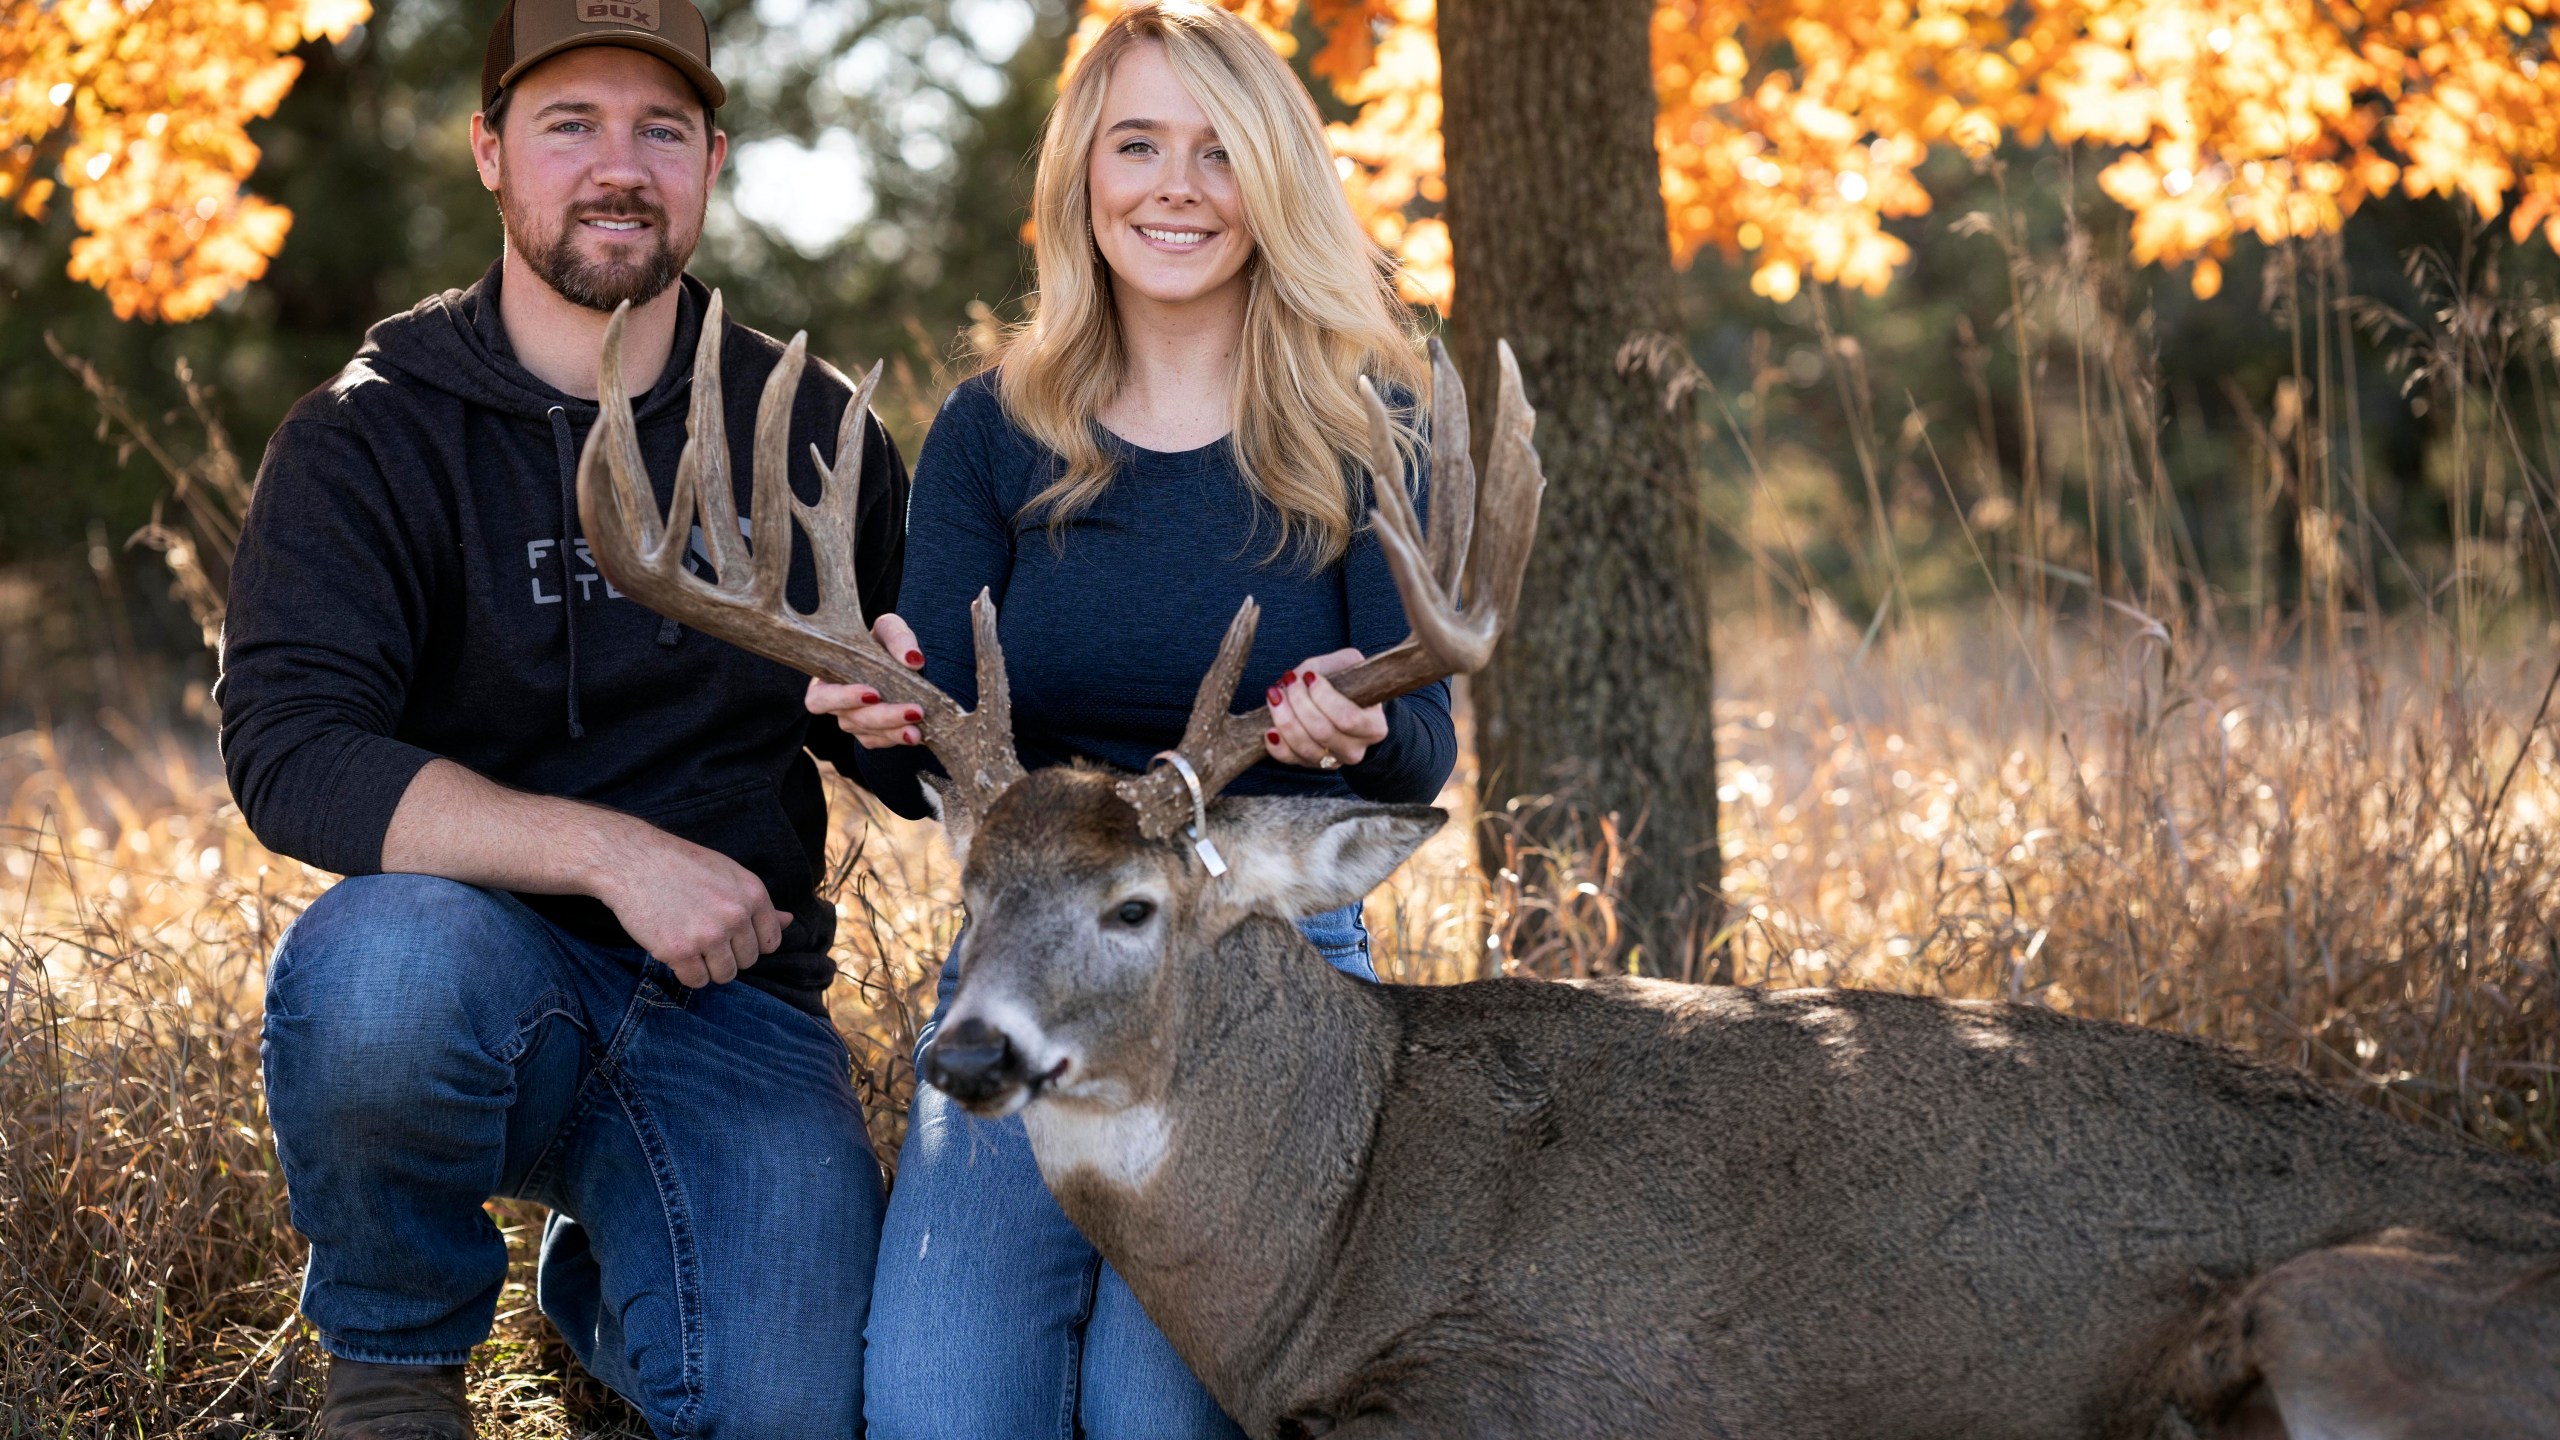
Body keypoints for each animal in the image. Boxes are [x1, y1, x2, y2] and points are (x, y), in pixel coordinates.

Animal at [581, 294, 2560, 1434]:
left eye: (1138, 905)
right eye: (971, 895)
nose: (967, 1053)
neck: (1321, 1237)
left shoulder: (1556, 1380)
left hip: (2349, 1310)